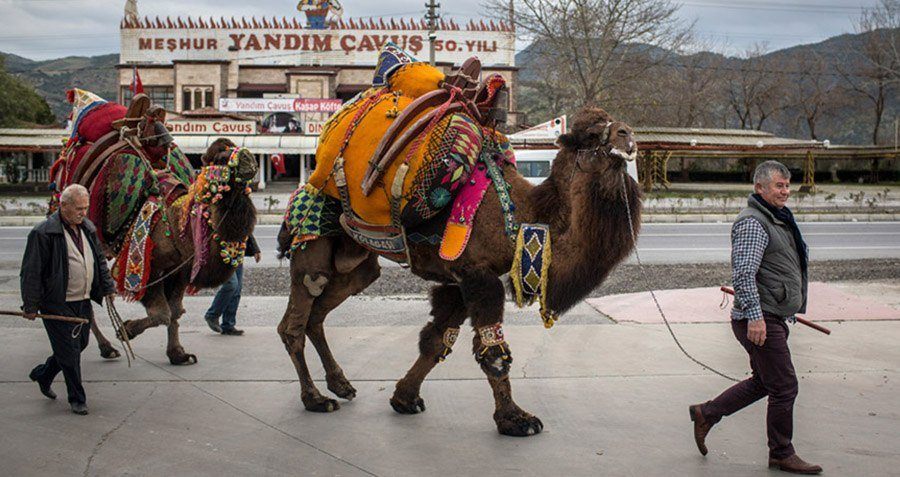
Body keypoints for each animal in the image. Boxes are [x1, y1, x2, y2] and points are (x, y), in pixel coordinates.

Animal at [280, 45, 640, 436]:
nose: (627, 133)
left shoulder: (457, 280)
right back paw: (316, 399)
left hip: (357, 262)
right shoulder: (477, 275)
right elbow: (494, 354)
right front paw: (515, 419)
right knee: (296, 319)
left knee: (318, 315)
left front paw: (405, 398)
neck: (522, 211)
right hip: (313, 243)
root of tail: (311, 177)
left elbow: (435, 341)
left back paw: (341, 384)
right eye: (589, 136)